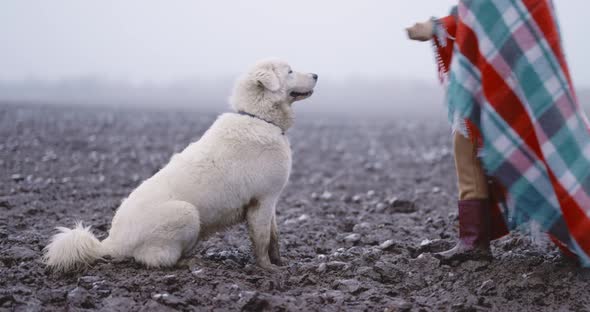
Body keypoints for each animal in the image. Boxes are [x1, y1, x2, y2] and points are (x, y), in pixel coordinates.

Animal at [42, 59, 320, 272]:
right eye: (290, 71)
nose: (317, 74)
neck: (259, 118)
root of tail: (111, 242)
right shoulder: (262, 201)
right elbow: (262, 241)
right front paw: (268, 269)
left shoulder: (270, 204)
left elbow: (275, 238)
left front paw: (281, 263)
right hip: (186, 213)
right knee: (158, 260)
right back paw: (192, 263)